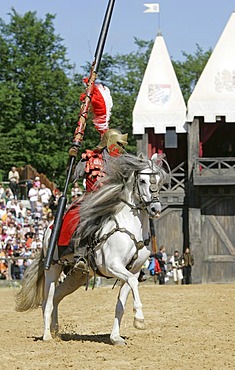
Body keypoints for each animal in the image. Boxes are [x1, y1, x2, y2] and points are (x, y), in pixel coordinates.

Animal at [15, 152, 169, 346]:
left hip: (77, 276)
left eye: (159, 180)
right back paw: (47, 336)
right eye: (142, 180)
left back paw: (56, 332)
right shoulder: (112, 266)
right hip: (53, 269)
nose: (155, 208)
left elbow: (121, 303)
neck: (130, 227)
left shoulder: (132, 270)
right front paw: (139, 319)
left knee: (56, 297)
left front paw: (116, 337)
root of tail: (49, 228)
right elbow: (133, 284)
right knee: (47, 301)